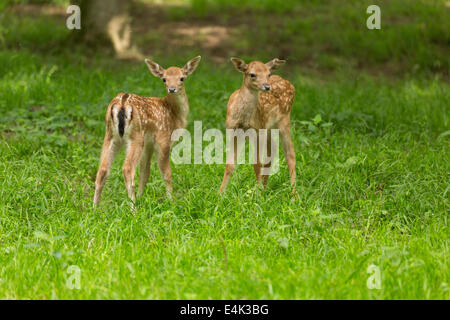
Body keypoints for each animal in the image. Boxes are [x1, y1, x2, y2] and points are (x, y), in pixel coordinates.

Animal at [93, 56, 200, 209]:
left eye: (182, 78)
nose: (172, 89)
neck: (174, 114)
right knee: (127, 169)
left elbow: (145, 172)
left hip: (110, 136)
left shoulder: (149, 144)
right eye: (164, 79)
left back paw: (94, 208)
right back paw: (133, 209)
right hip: (136, 137)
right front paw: (172, 202)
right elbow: (166, 173)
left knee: (102, 170)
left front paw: (140, 197)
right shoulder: (163, 139)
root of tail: (122, 103)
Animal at [218, 56, 296, 194]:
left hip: (283, 121)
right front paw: (220, 193)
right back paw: (265, 187)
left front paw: (257, 194)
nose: (267, 86)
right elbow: (230, 164)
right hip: (268, 128)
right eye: (252, 74)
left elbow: (257, 164)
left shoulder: (256, 131)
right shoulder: (232, 130)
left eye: (268, 74)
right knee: (273, 150)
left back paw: (293, 195)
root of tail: (289, 84)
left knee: (290, 155)